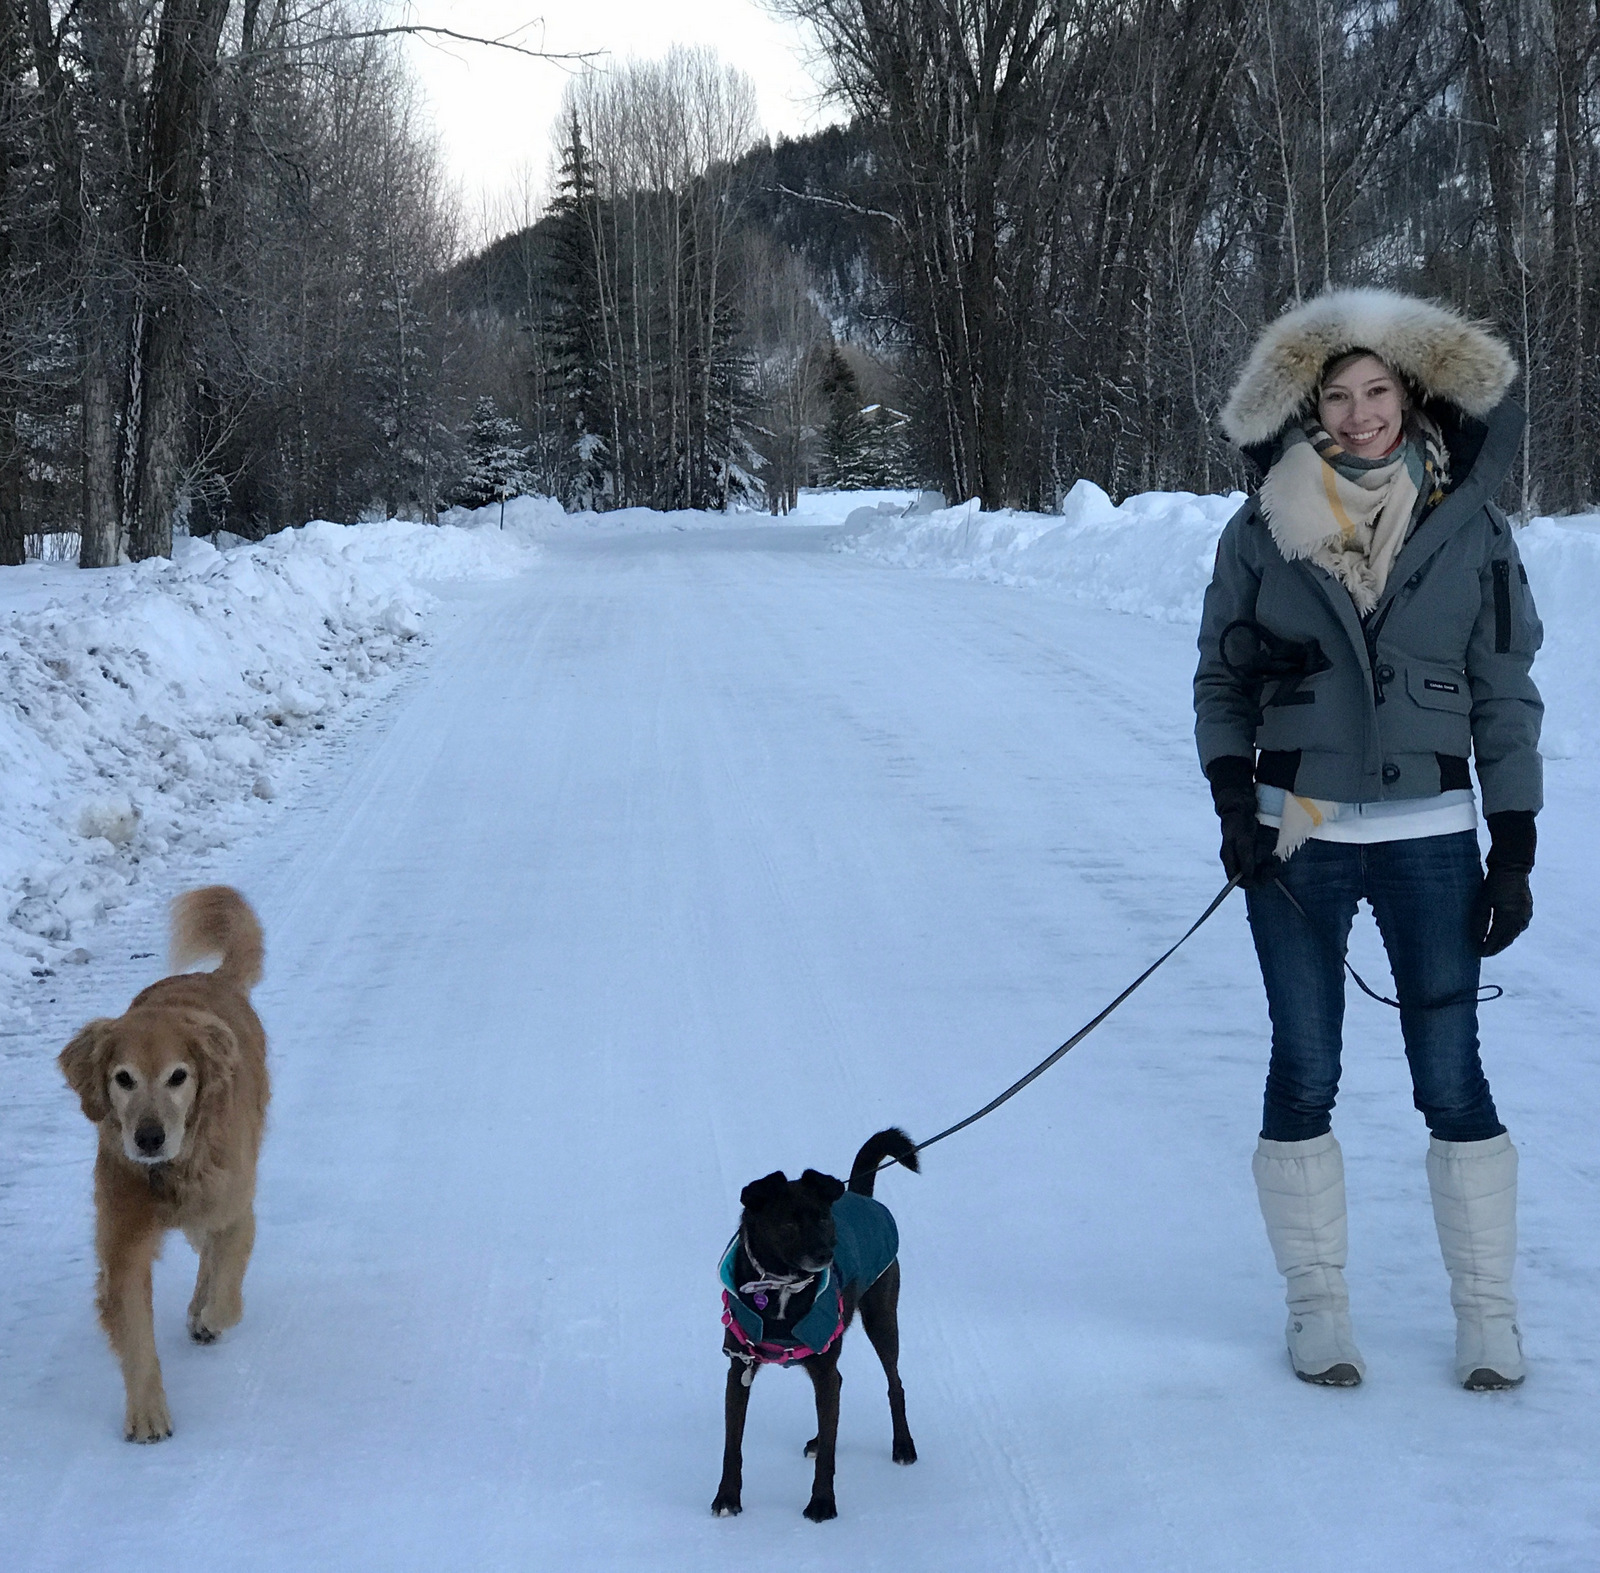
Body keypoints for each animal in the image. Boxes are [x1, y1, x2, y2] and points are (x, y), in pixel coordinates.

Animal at [58, 886, 269, 1442]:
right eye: (123, 1078)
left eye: (179, 1076)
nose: (149, 1137)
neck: (170, 1171)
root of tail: (211, 978)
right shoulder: (123, 1244)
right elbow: (135, 1336)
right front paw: (147, 1412)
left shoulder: (233, 1208)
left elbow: (228, 1286)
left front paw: (212, 1316)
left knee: (210, 1257)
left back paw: (201, 1314)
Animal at [713, 1127, 920, 1521]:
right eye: (789, 1224)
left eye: (824, 1219)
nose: (826, 1254)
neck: (780, 1287)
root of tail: (860, 1195)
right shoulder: (739, 1368)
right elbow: (732, 1446)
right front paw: (727, 1498)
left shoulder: (823, 1366)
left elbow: (827, 1458)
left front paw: (822, 1503)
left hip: (882, 1318)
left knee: (894, 1383)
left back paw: (903, 1445)